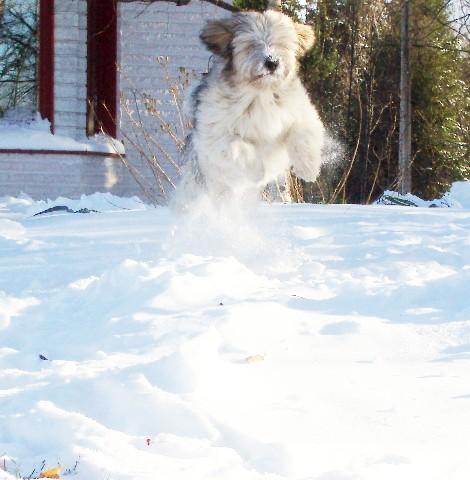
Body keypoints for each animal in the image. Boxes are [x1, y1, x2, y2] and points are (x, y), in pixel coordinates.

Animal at [178, 2, 324, 204]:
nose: (272, 62)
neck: (261, 93)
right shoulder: (215, 134)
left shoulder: (300, 114)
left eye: (281, 44)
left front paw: (308, 168)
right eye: (251, 45)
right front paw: (258, 172)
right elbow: (239, 146)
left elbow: (303, 134)